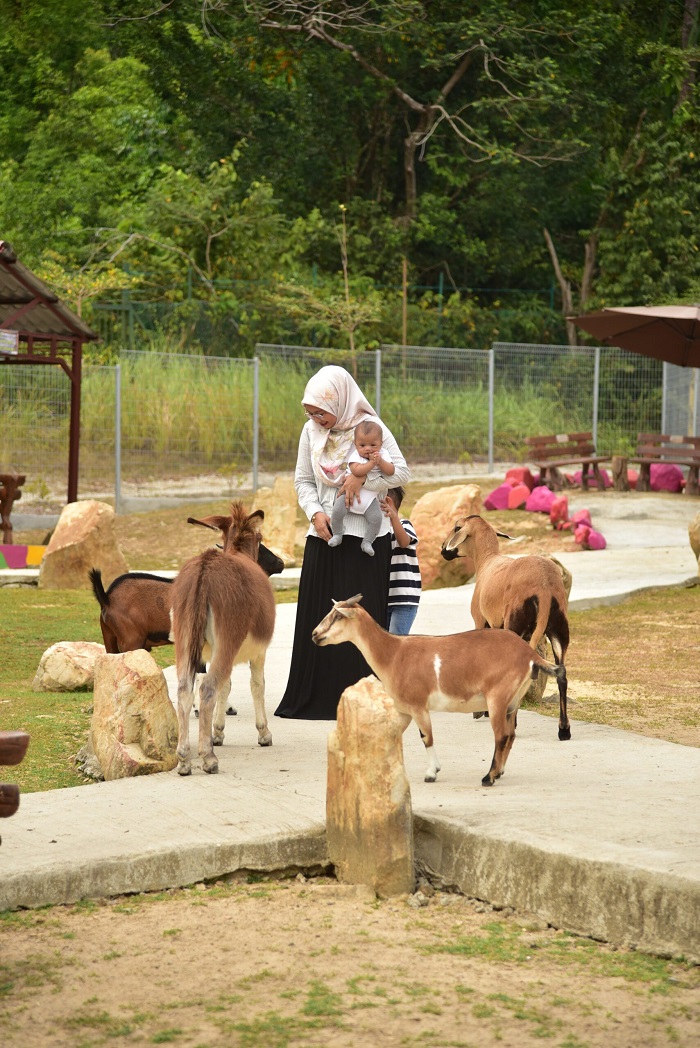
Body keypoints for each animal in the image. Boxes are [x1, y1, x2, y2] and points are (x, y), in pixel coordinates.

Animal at [169, 498, 276, 779]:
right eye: (260, 538)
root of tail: (204, 568)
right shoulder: (258, 652)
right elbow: (256, 685)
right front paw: (264, 733)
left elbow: (225, 687)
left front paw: (217, 732)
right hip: (228, 639)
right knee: (206, 689)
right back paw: (208, 758)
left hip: (185, 641)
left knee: (185, 689)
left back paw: (184, 759)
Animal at [314, 599, 565, 788]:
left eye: (338, 616)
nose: (315, 635)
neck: (393, 654)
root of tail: (531, 656)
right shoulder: (404, 710)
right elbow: (393, 733)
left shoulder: (418, 706)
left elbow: (427, 737)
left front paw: (431, 773)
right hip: (514, 699)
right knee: (510, 735)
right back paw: (499, 772)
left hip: (498, 698)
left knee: (501, 735)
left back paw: (488, 777)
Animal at [440, 511, 570, 741]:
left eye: (456, 528)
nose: (442, 549)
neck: (487, 560)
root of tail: (544, 588)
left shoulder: (481, 621)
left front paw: (480, 711)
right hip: (558, 628)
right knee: (562, 674)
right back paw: (564, 730)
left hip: (516, 623)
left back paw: (512, 722)